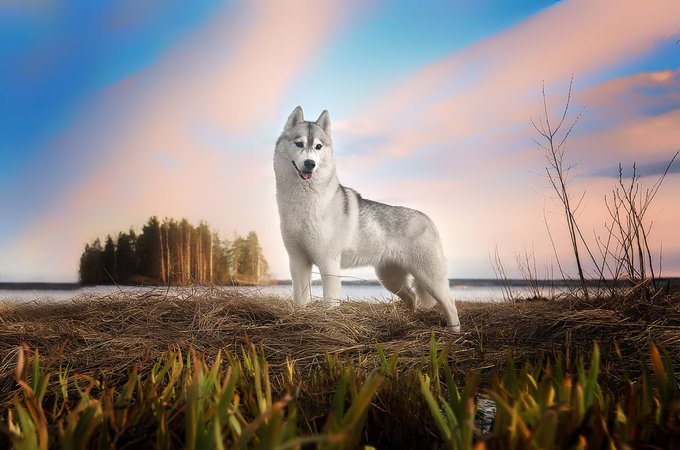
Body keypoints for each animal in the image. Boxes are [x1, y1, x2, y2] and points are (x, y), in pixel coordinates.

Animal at [274, 106, 461, 331]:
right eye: (299, 143)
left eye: (318, 146)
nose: (310, 164)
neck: (303, 203)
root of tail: (428, 219)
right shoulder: (298, 262)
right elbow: (300, 300)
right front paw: (299, 317)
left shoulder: (329, 263)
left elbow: (330, 302)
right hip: (390, 278)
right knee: (411, 297)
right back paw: (408, 320)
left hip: (430, 277)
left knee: (450, 303)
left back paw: (454, 332)